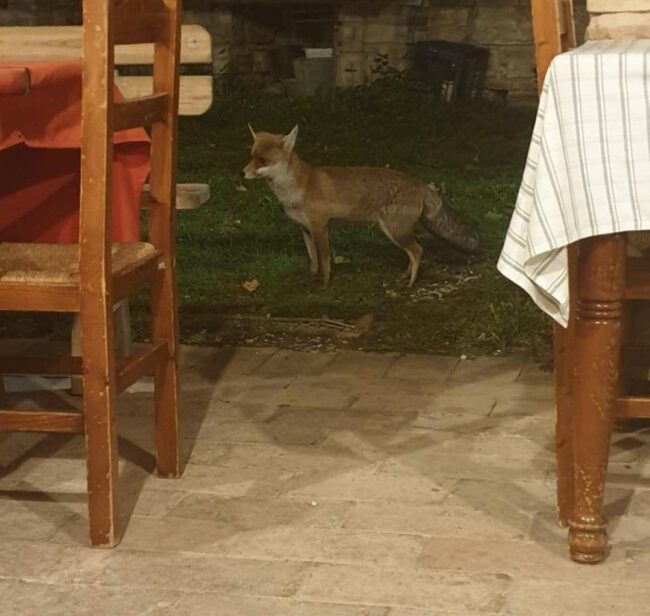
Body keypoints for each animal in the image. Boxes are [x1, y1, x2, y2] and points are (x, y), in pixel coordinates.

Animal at [243, 124, 480, 287]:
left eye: (263, 161)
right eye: (251, 156)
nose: (243, 172)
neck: (299, 189)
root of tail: (421, 184)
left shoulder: (320, 227)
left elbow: (325, 260)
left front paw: (324, 283)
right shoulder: (305, 229)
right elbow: (313, 260)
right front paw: (311, 277)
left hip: (395, 231)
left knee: (418, 251)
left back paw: (412, 283)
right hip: (394, 231)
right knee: (413, 254)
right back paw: (405, 275)